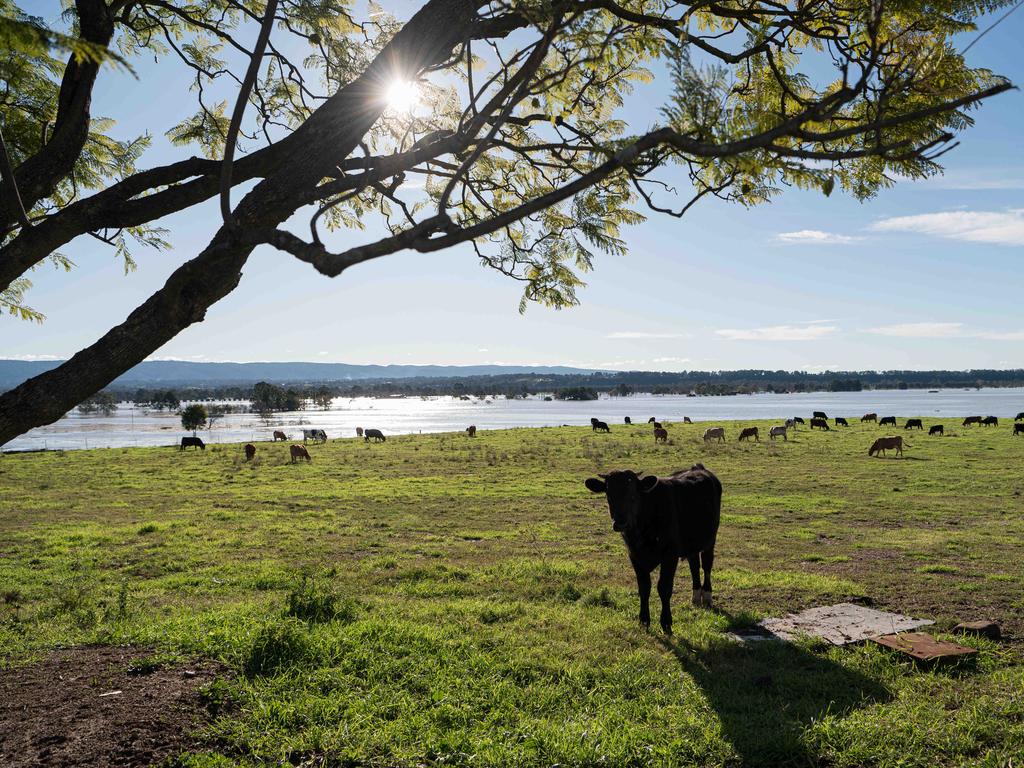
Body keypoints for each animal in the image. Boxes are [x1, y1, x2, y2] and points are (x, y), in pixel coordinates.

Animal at [585, 466, 729, 634]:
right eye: (609, 495)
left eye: (633, 495)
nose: (620, 522)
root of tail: (699, 468)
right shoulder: (634, 556)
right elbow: (644, 588)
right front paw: (644, 620)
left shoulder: (670, 555)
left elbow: (664, 588)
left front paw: (666, 623)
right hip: (691, 544)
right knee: (694, 565)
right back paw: (695, 596)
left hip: (710, 541)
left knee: (706, 566)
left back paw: (706, 596)